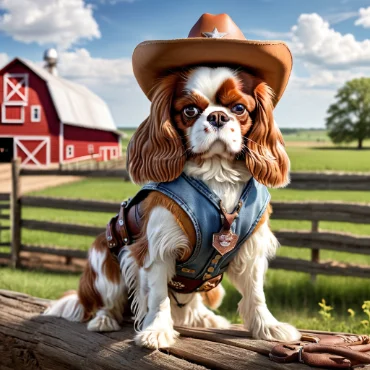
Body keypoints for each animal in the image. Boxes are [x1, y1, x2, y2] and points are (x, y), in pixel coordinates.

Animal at [44, 12, 302, 346]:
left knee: (189, 302)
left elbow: (255, 293)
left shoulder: (251, 249)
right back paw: (104, 319)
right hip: (103, 258)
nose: (217, 117)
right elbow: (158, 297)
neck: (216, 176)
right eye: (189, 110)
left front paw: (268, 327)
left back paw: (203, 317)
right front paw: (156, 331)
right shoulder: (157, 248)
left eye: (239, 108)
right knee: (107, 299)